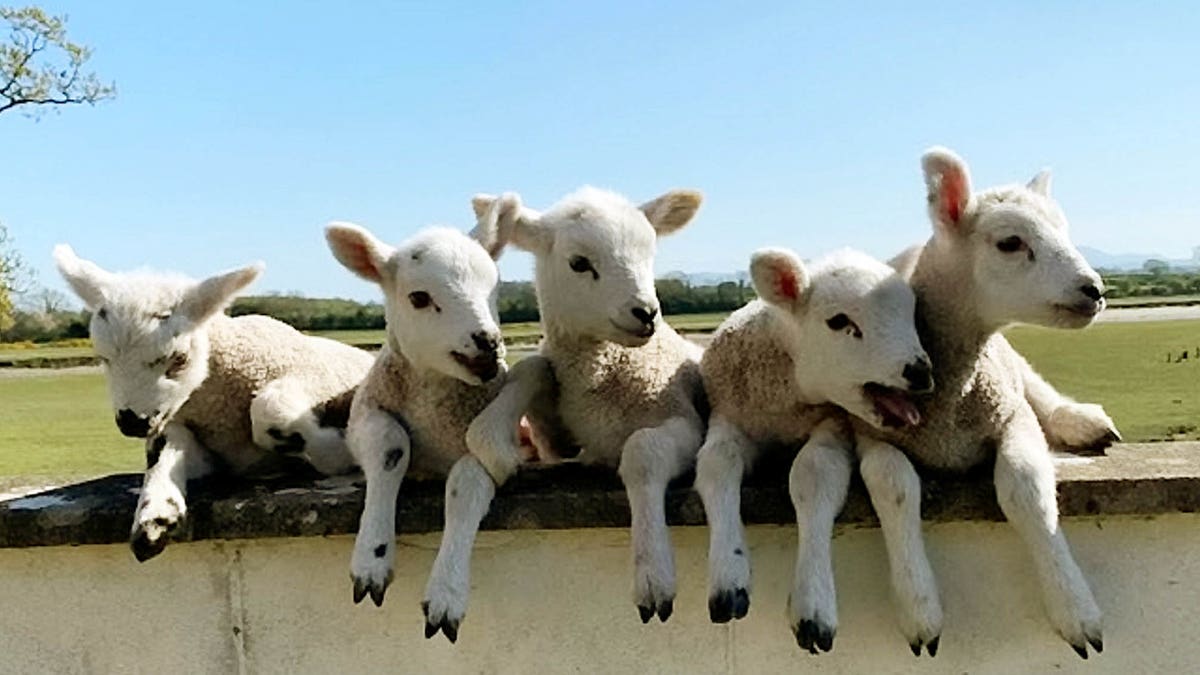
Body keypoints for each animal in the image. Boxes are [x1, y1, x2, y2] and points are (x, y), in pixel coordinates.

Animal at [54, 243, 372, 559]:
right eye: (103, 358)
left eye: (179, 359)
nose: (132, 422)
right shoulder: (196, 439)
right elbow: (163, 450)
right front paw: (155, 516)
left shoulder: (313, 379)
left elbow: (271, 409)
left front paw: (339, 453)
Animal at [324, 198, 540, 638]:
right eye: (420, 298)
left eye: (494, 286)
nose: (489, 343)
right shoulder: (365, 415)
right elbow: (391, 447)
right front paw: (372, 557)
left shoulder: (502, 442)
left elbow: (465, 484)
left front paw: (446, 592)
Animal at [436, 182, 705, 624]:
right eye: (579, 263)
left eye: (649, 254)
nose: (646, 313)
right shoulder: (554, 441)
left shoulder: (685, 419)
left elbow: (643, 451)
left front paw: (653, 572)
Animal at [696, 243, 936, 648]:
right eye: (838, 322)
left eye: (912, 314)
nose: (920, 372)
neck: (784, 402)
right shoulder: (729, 414)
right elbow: (716, 461)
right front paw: (728, 577)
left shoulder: (833, 423)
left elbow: (815, 472)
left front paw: (812, 604)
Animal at [796, 145, 1113, 658]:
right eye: (1010, 242)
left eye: (1063, 229)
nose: (1095, 290)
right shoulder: (872, 430)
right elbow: (894, 483)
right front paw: (919, 607)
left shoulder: (1013, 414)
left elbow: (1025, 485)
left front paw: (1073, 605)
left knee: (1034, 383)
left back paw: (1080, 419)